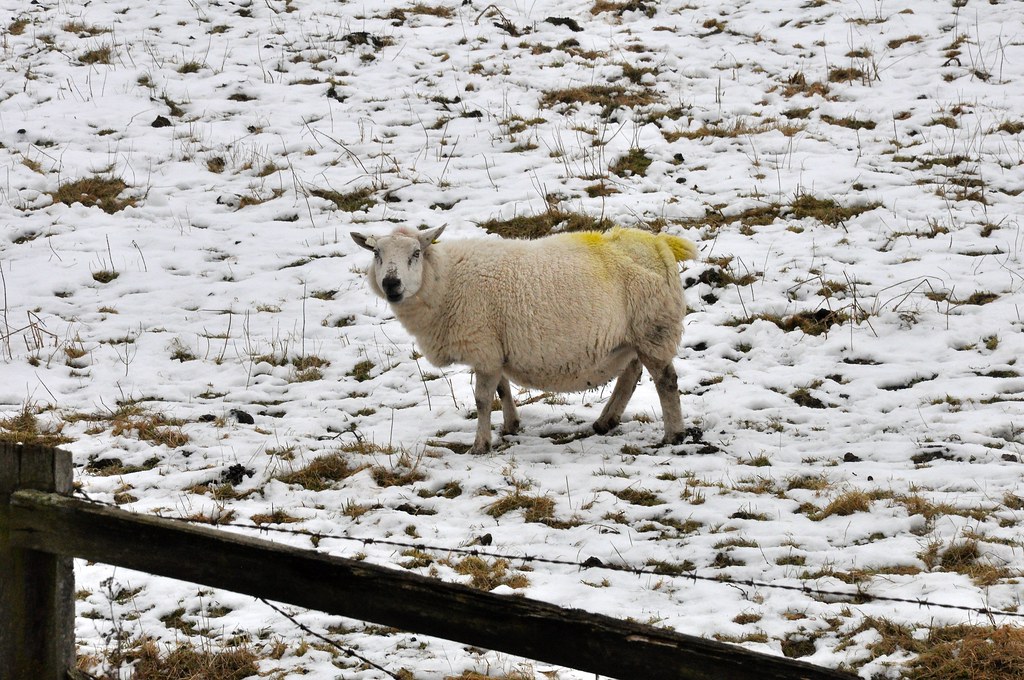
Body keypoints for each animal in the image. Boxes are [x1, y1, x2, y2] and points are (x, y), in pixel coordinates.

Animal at [351, 225, 699, 454]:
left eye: (416, 253)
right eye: (377, 253)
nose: (391, 284)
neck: (445, 281)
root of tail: (658, 243)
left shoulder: (483, 345)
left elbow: (482, 400)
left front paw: (480, 444)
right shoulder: (493, 348)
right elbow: (502, 388)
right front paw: (510, 426)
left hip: (653, 327)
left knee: (665, 381)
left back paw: (673, 435)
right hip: (633, 335)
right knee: (631, 373)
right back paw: (605, 421)